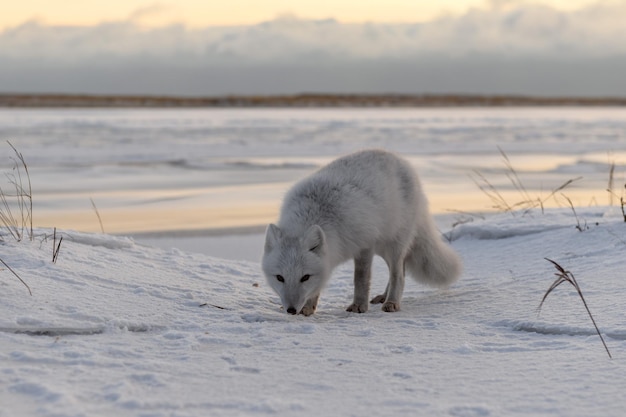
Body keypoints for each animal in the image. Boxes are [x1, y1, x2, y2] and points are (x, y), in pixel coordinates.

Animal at [260, 148, 460, 314]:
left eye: (305, 277)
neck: (315, 214)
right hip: (382, 247)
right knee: (400, 270)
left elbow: (361, 279)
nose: (291, 310)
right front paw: (309, 307)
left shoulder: (364, 246)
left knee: (398, 274)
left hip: (394, 244)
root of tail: (398, 158)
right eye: (280, 278)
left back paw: (392, 302)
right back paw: (384, 297)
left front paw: (358, 305)